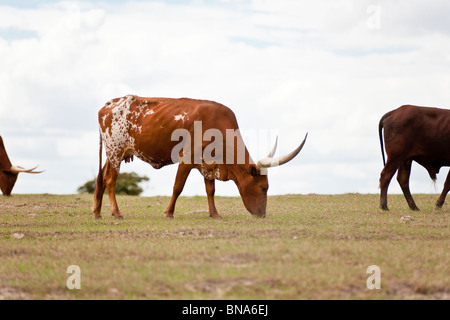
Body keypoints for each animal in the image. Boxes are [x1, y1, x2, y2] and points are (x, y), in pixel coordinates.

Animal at [93, 95, 308, 219]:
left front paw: (215, 214)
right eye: (264, 188)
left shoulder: (207, 164)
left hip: (113, 154)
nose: (262, 215)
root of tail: (107, 105)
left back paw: (97, 212)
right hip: (115, 150)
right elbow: (178, 187)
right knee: (110, 180)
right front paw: (169, 213)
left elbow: (210, 190)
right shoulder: (187, 159)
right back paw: (117, 213)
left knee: (101, 178)